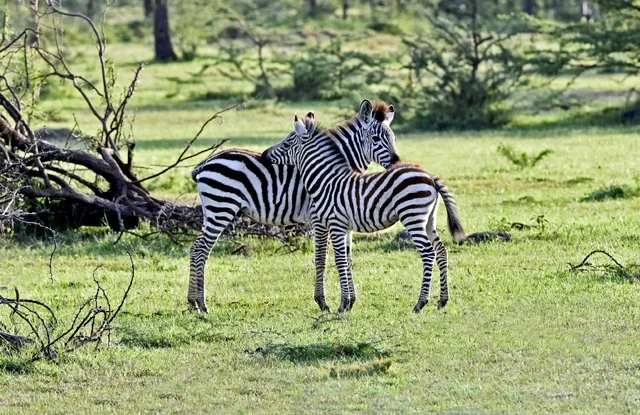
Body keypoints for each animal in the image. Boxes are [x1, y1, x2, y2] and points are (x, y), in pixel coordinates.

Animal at [188, 100, 401, 312]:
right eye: (375, 139)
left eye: (394, 139)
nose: (397, 163)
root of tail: (207, 162)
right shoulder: (320, 218)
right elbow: (321, 258)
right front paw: (323, 302)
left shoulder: (344, 217)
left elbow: (348, 258)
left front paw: (349, 302)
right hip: (221, 208)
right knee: (201, 249)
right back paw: (201, 304)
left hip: (211, 210)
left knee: (196, 248)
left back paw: (193, 304)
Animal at [261, 114, 466, 313]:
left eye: (286, 144)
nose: (264, 155)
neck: (326, 182)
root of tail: (429, 176)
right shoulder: (344, 228)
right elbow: (346, 259)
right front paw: (349, 302)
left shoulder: (335, 225)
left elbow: (339, 260)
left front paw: (342, 305)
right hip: (429, 220)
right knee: (441, 250)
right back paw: (442, 300)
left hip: (412, 217)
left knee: (428, 252)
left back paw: (420, 303)